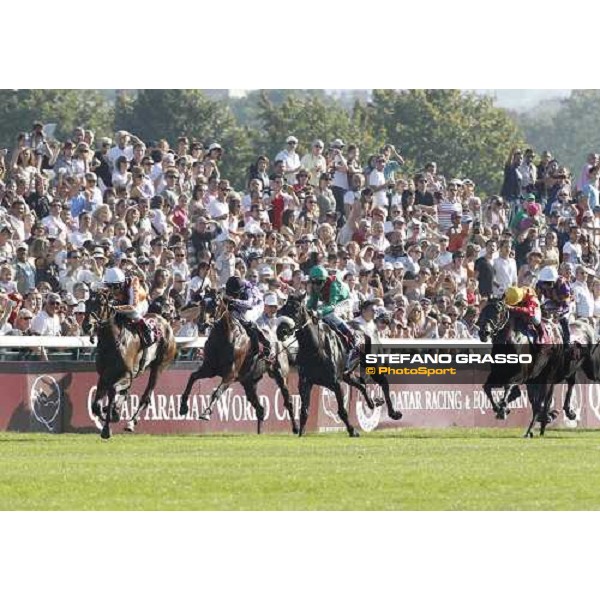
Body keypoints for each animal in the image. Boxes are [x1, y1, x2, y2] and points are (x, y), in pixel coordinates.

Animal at [84, 288, 178, 438]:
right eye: (86, 302)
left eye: (101, 303)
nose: (87, 326)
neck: (111, 343)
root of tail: (164, 320)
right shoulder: (104, 376)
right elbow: (96, 405)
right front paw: (109, 412)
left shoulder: (126, 375)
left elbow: (112, 392)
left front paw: (107, 427)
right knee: (126, 392)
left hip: (159, 367)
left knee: (146, 396)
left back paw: (130, 423)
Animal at [179, 292, 298, 434]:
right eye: (201, 303)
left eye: (216, 304)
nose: (202, 325)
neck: (224, 338)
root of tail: (277, 339)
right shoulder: (209, 369)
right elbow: (192, 377)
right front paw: (183, 407)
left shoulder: (231, 374)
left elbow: (217, 391)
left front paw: (206, 413)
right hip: (248, 382)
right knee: (260, 409)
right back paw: (260, 433)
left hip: (281, 375)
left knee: (288, 402)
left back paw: (296, 428)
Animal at [278, 290, 404, 436]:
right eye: (282, 308)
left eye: (296, 309)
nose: (281, 331)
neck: (315, 347)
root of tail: (371, 329)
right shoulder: (305, 382)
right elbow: (304, 410)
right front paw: (301, 433)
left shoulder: (335, 383)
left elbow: (342, 411)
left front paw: (352, 431)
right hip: (346, 374)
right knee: (361, 384)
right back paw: (372, 403)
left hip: (372, 366)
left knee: (383, 383)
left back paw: (394, 413)